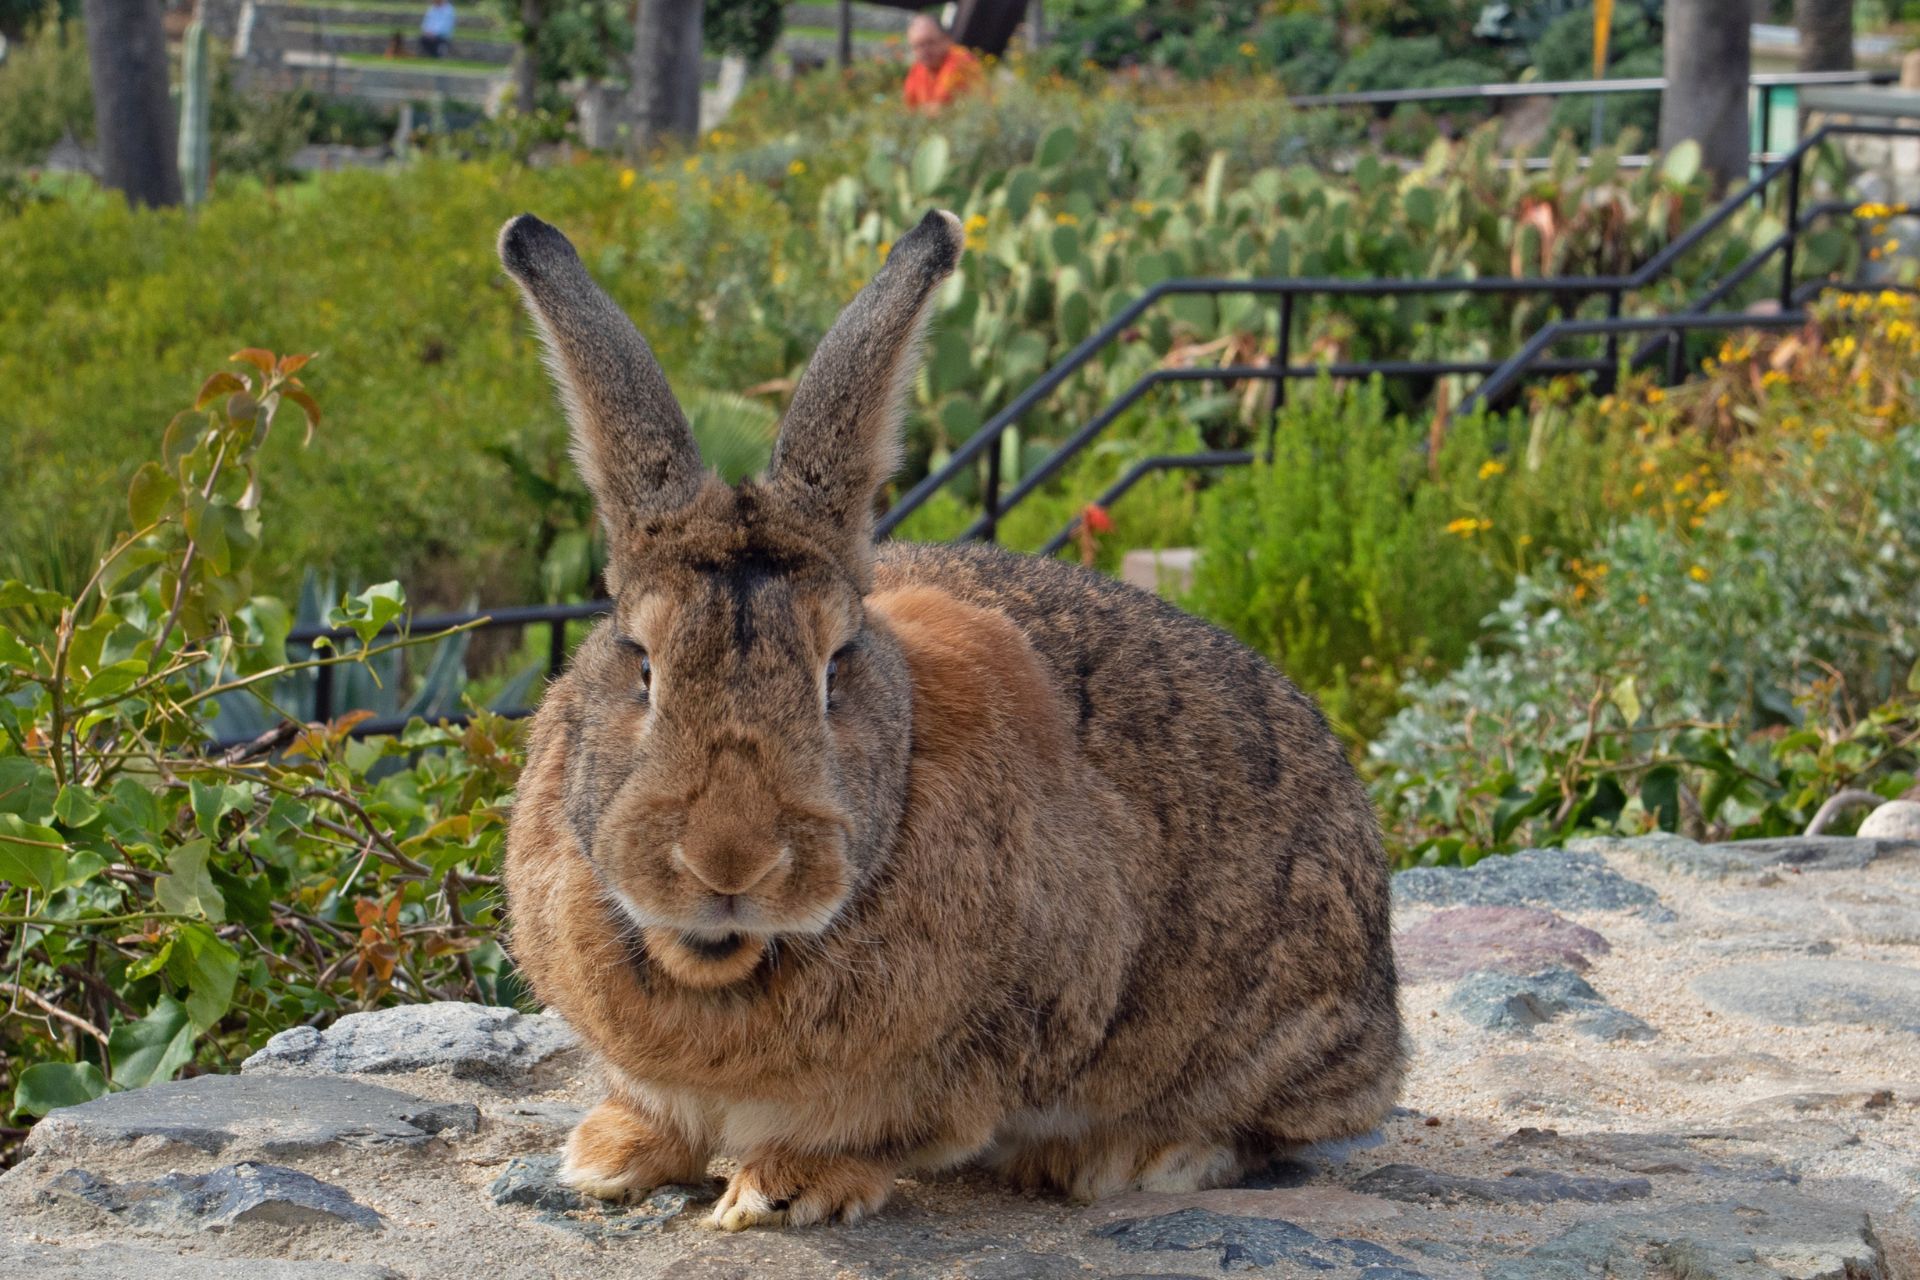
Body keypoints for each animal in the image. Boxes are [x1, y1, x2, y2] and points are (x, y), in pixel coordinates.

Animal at [495, 208, 1405, 1228]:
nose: (729, 861)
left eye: (834, 670)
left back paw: (1120, 1159)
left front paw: (779, 1189)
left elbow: (876, 1136)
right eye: (641, 665)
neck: (717, 965)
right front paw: (608, 1156)